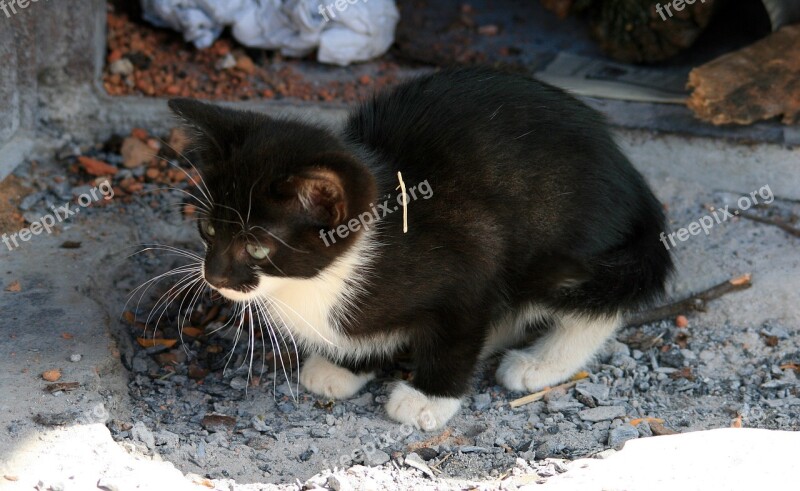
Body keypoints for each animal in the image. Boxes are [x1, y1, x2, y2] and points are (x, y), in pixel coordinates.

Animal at [170, 68, 676, 430]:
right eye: (206, 228)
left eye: (256, 248)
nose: (214, 275)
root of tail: (637, 188)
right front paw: (346, 365)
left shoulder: (472, 254)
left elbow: (458, 329)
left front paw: (428, 399)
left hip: (569, 237)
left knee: (592, 302)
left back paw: (540, 362)